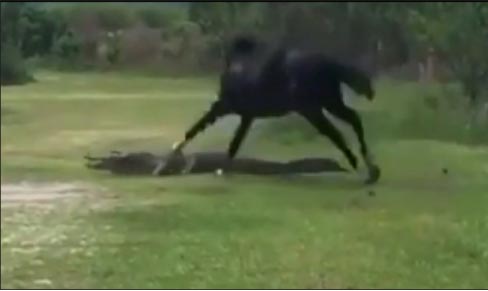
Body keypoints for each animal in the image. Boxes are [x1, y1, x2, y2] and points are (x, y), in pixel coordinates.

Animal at [158, 36, 380, 182]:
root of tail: (328, 63)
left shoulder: (224, 106)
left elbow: (195, 129)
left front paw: (167, 162)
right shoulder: (247, 115)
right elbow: (234, 144)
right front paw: (223, 169)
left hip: (312, 109)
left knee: (336, 131)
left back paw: (360, 165)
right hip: (329, 103)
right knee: (352, 120)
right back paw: (370, 170)